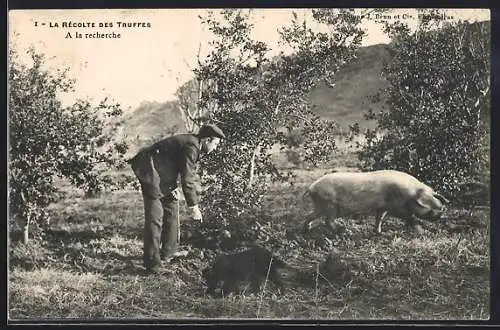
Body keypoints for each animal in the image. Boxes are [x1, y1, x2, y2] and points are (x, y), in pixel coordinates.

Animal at [300, 170, 450, 235]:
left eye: (441, 207)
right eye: (434, 208)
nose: (441, 216)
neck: (412, 193)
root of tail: (311, 187)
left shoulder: (383, 207)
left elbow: (379, 219)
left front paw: (379, 233)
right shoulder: (396, 207)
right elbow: (410, 217)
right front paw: (422, 232)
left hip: (320, 206)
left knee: (309, 216)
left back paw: (307, 230)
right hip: (329, 205)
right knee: (328, 221)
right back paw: (343, 231)